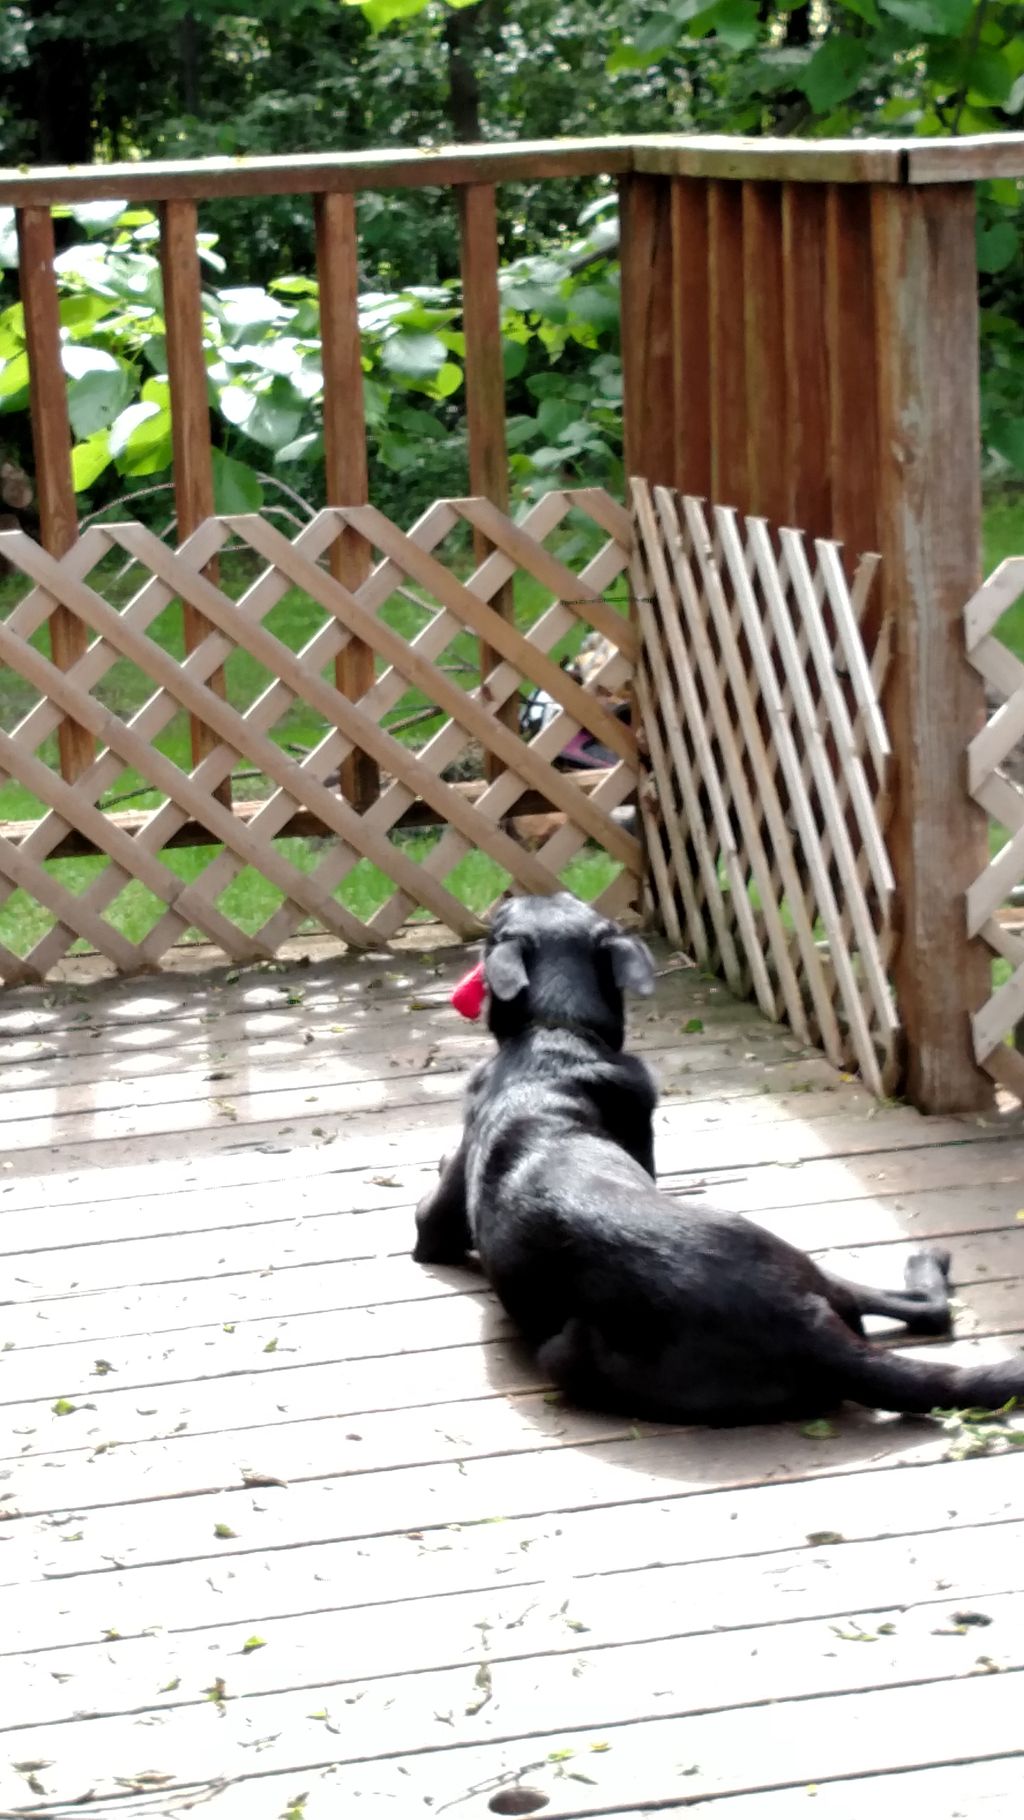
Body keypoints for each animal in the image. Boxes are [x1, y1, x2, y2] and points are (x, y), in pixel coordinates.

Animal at [414, 891, 1024, 1419]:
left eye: (501, 919)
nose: (507, 894)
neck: (559, 1034)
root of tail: (807, 1326)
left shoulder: (434, 1226)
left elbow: (431, 1223)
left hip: (565, 1353)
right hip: (807, 1269)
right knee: (926, 1309)